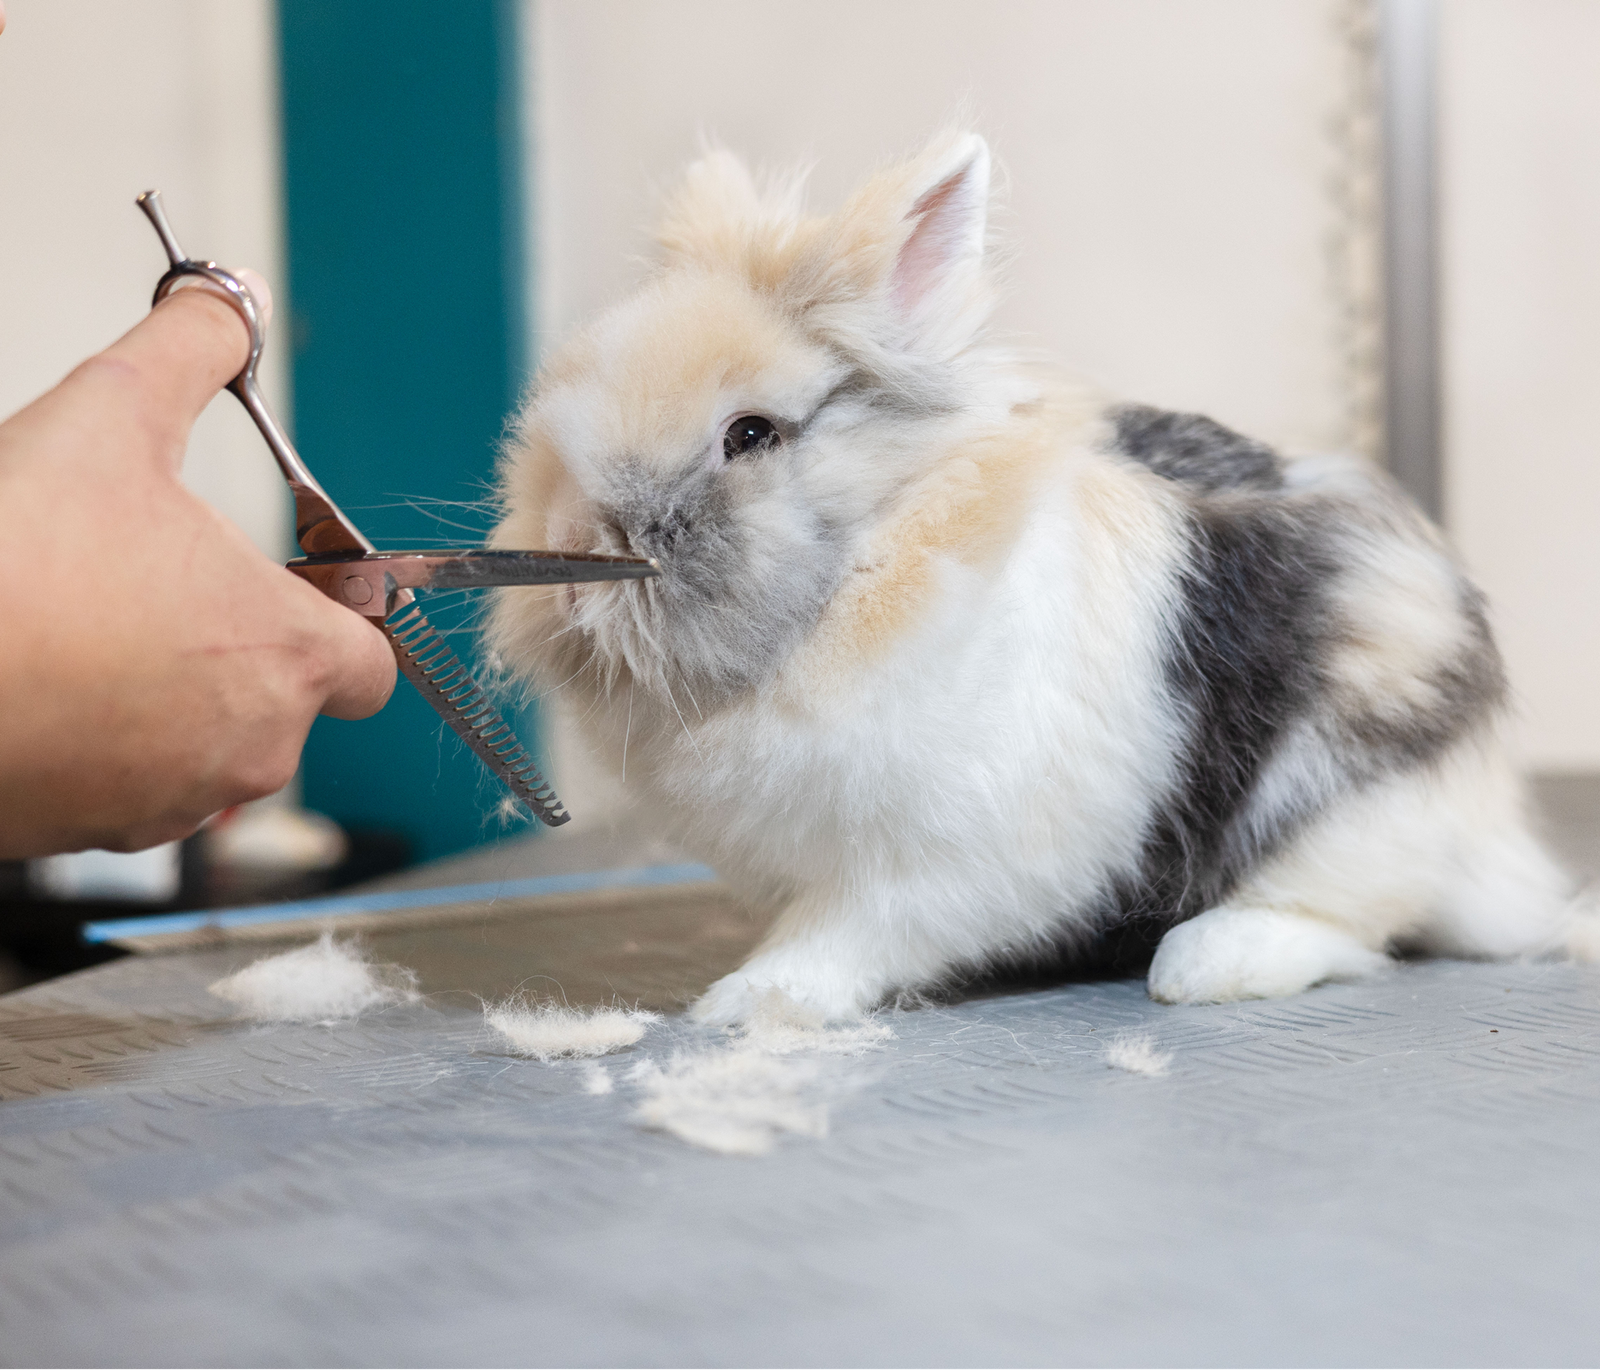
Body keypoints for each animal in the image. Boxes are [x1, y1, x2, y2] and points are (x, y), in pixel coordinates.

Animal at [488, 130, 1592, 1025]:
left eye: (749, 434)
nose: (573, 569)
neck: (877, 562)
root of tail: (1490, 837)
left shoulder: (930, 867)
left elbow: (845, 934)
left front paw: (747, 1001)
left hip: (1356, 803)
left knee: (1350, 919)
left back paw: (1202, 963)